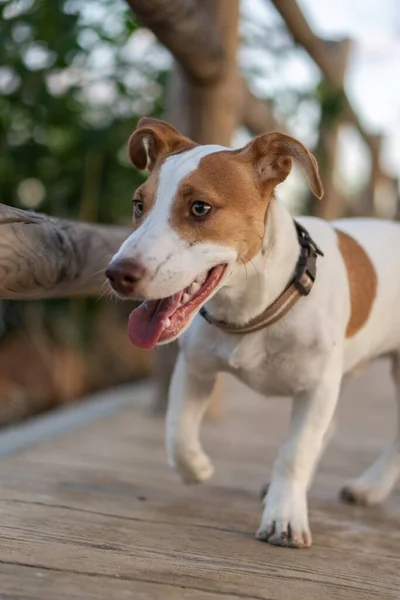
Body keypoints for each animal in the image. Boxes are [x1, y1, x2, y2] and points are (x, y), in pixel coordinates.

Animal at [104, 116, 398, 548]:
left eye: (200, 208)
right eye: (139, 205)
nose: (116, 274)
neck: (253, 309)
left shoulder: (316, 389)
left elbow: (295, 452)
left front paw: (285, 516)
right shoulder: (195, 368)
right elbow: (177, 433)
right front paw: (198, 469)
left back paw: (370, 487)